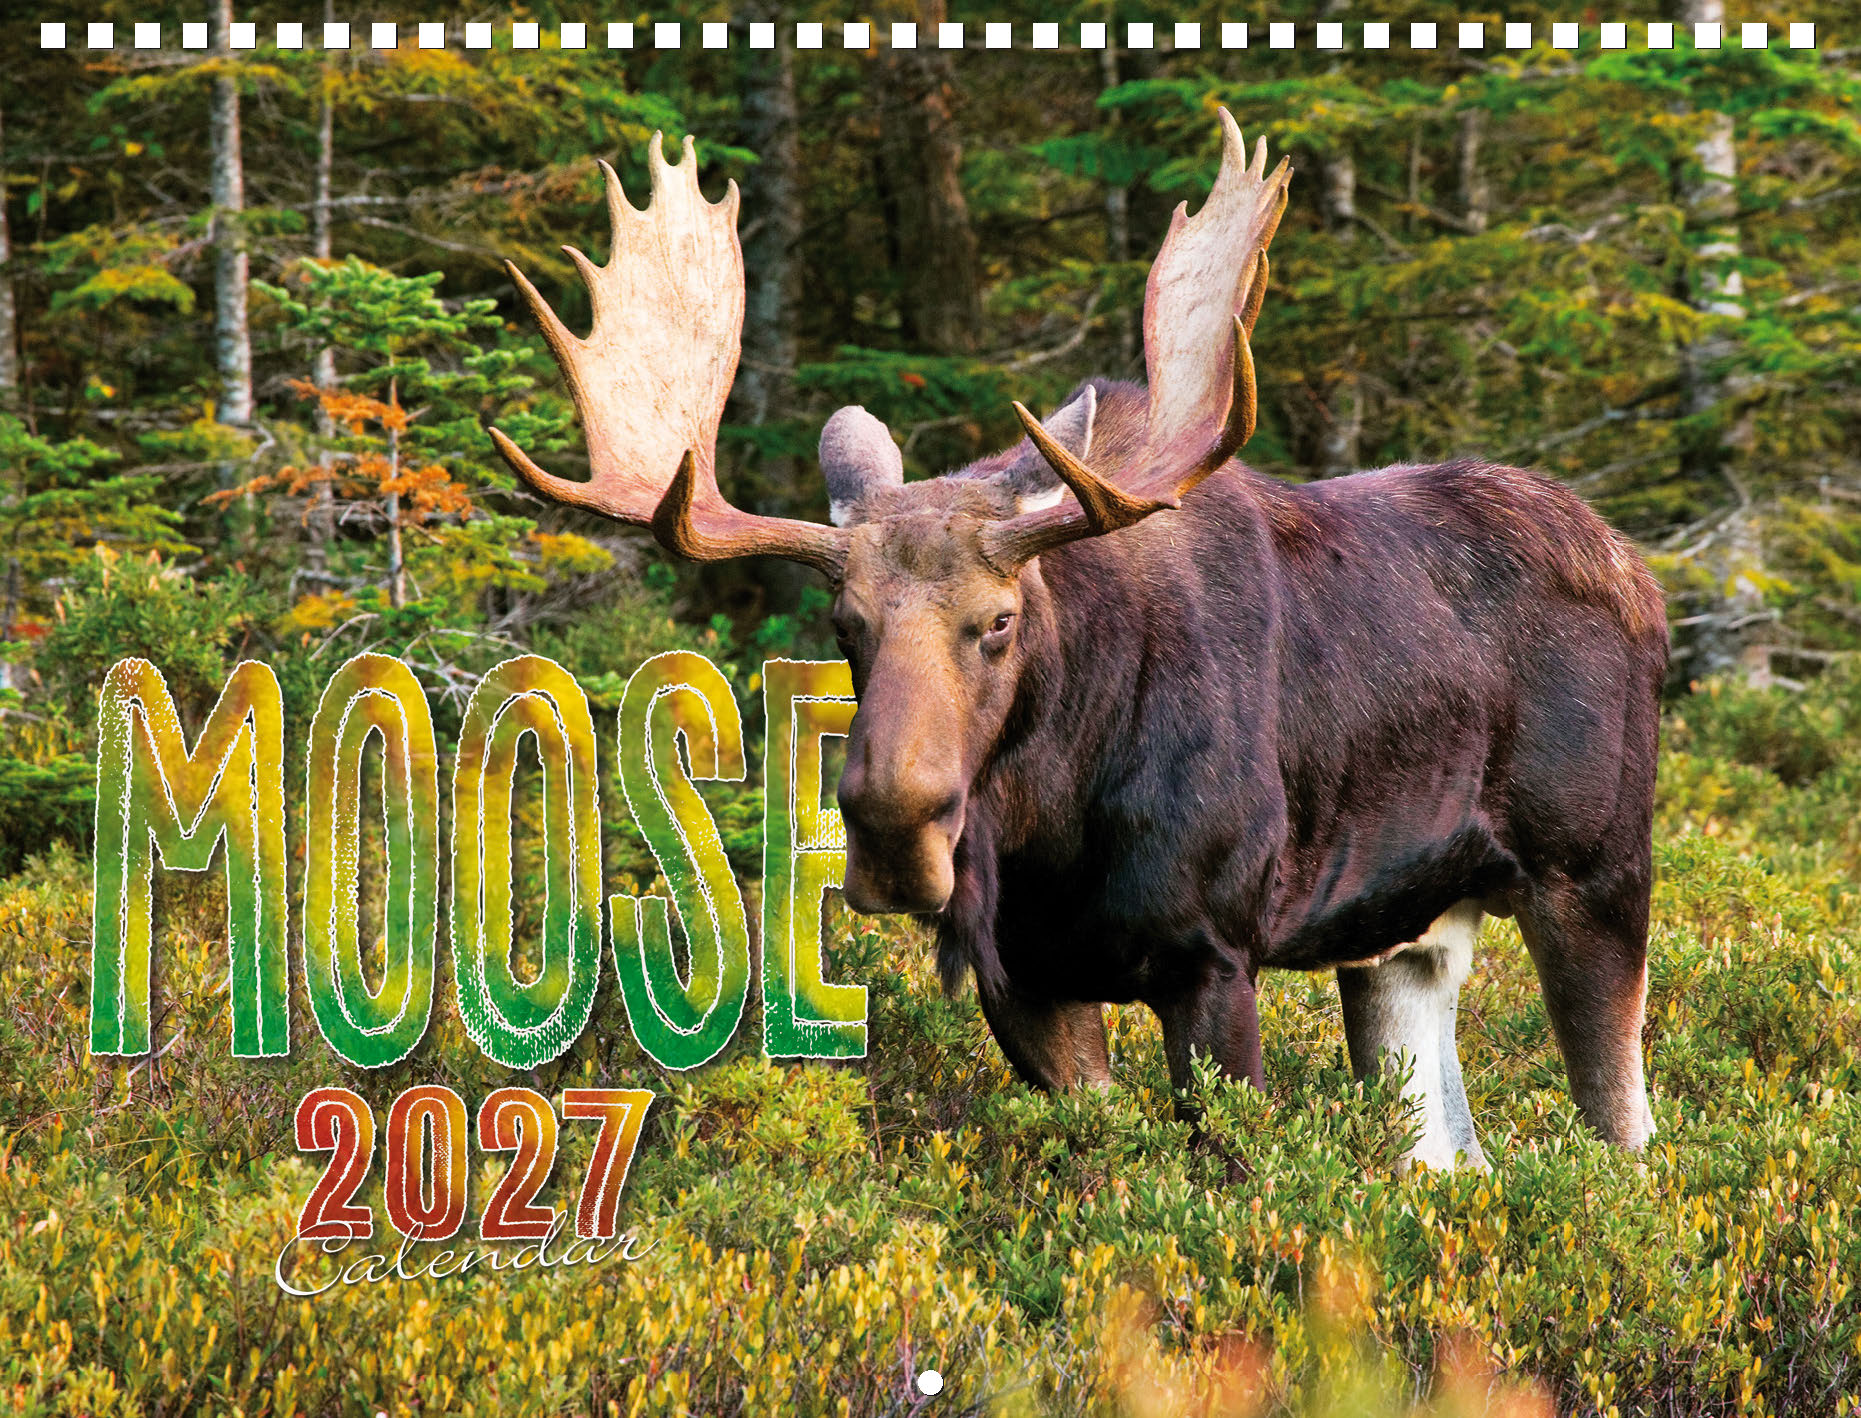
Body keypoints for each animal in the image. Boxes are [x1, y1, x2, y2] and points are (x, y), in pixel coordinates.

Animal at [488, 114, 1668, 1171]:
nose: (893, 830)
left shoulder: (1212, 956)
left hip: (1593, 875)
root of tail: (1639, 575)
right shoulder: (1031, 982)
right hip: (1399, 934)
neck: (1049, 826)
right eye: (845, 623)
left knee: (1627, 1141)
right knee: (1451, 1156)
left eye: (999, 618)